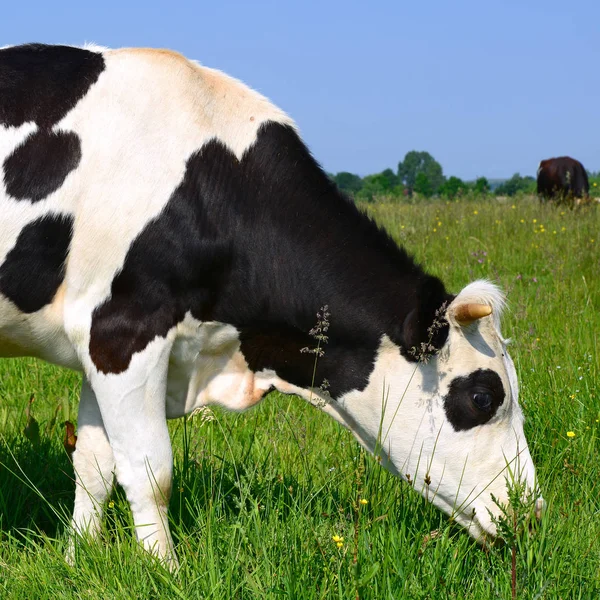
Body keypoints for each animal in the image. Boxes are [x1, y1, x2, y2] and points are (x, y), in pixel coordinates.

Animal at [0, 44, 544, 564]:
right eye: (482, 397)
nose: (530, 511)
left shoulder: (99, 340)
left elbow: (94, 463)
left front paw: (77, 560)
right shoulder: (124, 332)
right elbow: (151, 472)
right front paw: (162, 571)